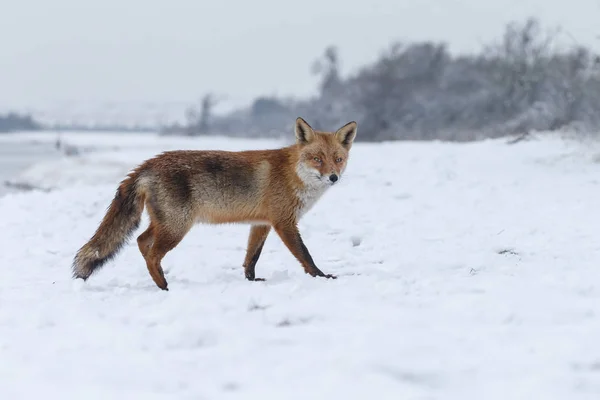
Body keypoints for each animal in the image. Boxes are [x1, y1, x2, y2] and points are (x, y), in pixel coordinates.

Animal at [73, 117, 358, 290]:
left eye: (338, 159)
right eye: (317, 159)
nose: (333, 177)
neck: (292, 174)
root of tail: (149, 162)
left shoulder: (261, 223)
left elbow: (251, 258)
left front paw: (251, 281)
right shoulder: (284, 223)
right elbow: (305, 254)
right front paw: (322, 277)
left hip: (167, 224)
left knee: (142, 241)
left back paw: (159, 281)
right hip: (177, 227)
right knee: (152, 253)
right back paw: (164, 287)